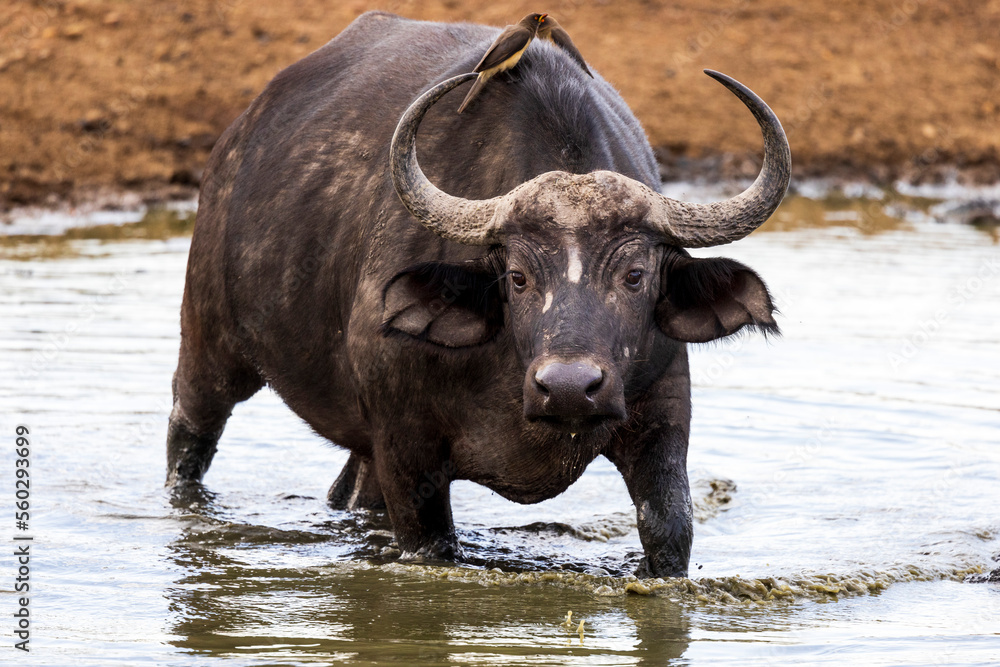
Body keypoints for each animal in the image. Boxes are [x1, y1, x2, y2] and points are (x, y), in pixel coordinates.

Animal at [166, 9, 788, 580]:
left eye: (636, 275)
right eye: (517, 277)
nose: (569, 387)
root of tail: (236, 141)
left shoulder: (662, 416)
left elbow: (670, 528)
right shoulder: (406, 448)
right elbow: (430, 540)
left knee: (351, 491)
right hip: (209, 344)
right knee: (189, 435)